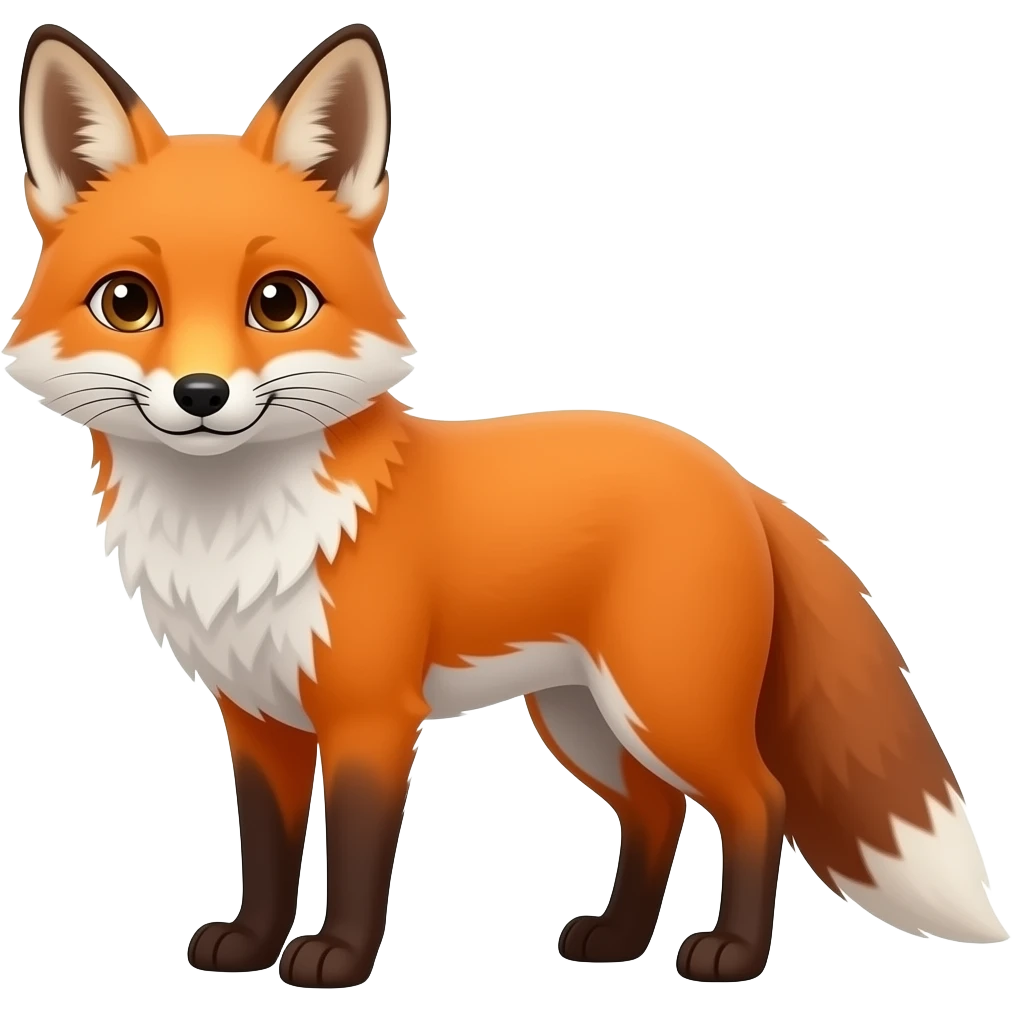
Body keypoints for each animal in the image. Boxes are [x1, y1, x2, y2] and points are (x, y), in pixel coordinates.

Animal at [8, 21, 1007, 990]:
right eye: (128, 302)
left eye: (279, 302)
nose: (202, 395)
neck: (233, 534)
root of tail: (732, 475)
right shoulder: (256, 716)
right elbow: (266, 851)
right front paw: (252, 945)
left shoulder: (373, 715)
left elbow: (359, 854)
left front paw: (338, 960)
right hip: (582, 717)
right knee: (657, 810)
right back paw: (616, 940)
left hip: (664, 704)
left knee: (760, 802)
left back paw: (731, 955)